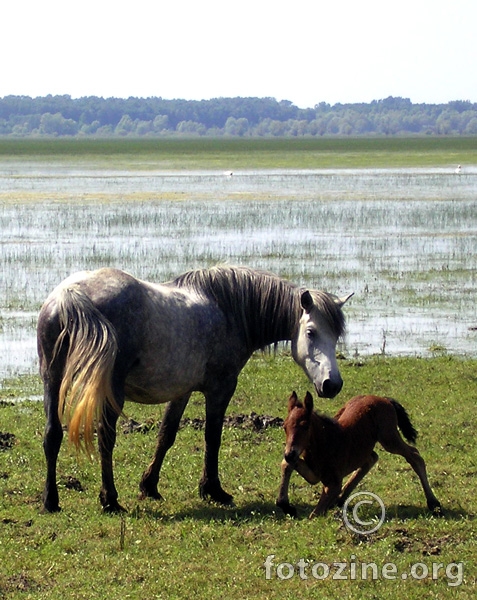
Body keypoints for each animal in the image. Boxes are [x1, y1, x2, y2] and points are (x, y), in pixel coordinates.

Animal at [38, 264, 350, 512]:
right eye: (311, 332)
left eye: (336, 335)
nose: (332, 384)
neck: (228, 309)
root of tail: (71, 294)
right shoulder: (221, 388)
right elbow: (213, 437)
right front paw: (213, 489)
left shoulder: (182, 391)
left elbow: (166, 435)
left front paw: (149, 486)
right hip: (110, 391)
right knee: (105, 437)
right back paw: (110, 500)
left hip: (51, 380)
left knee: (52, 435)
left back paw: (51, 501)